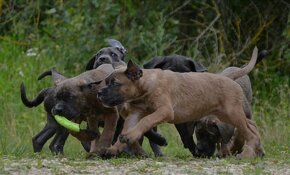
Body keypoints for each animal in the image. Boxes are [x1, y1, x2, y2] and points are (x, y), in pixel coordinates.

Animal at [98, 46, 266, 159]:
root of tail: (231, 78)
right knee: (251, 126)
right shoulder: (134, 115)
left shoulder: (164, 111)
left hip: (232, 113)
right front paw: (114, 148)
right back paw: (255, 150)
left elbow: (146, 121)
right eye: (106, 82)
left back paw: (247, 154)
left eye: (115, 83)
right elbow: (128, 128)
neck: (146, 86)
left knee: (248, 132)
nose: (99, 93)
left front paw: (129, 137)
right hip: (227, 115)